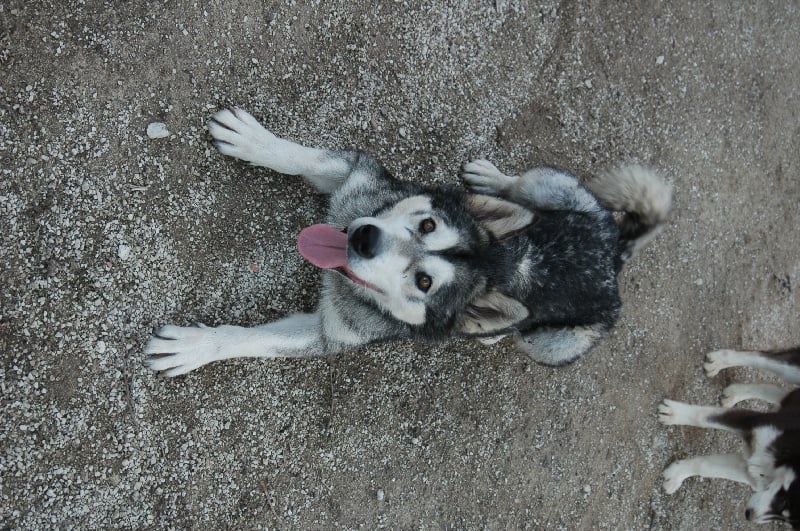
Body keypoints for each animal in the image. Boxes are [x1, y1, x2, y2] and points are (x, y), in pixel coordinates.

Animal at [144, 108, 671, 376]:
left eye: (424, 282)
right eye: (428, 225)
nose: (364, 237)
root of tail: (615, 252)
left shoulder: (336, 333)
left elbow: (255, 340)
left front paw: (195, 347)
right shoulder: (360, 182)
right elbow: (304, 157)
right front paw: (255, 141)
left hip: (553, 345)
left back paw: (491, 333)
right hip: (553, 187)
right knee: (526, 185)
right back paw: (492, 183)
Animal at [659, 346, 800, 527]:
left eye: (790, 524)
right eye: (784, 501)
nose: (748, 515)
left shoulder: (755, 470)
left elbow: (707, 466)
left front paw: (677, 474)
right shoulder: (752, 422)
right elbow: (701, 417)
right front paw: (674, 413)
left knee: (779, 392)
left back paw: (734, 394)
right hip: (792, 369)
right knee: (761, 358)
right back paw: (720, 361)